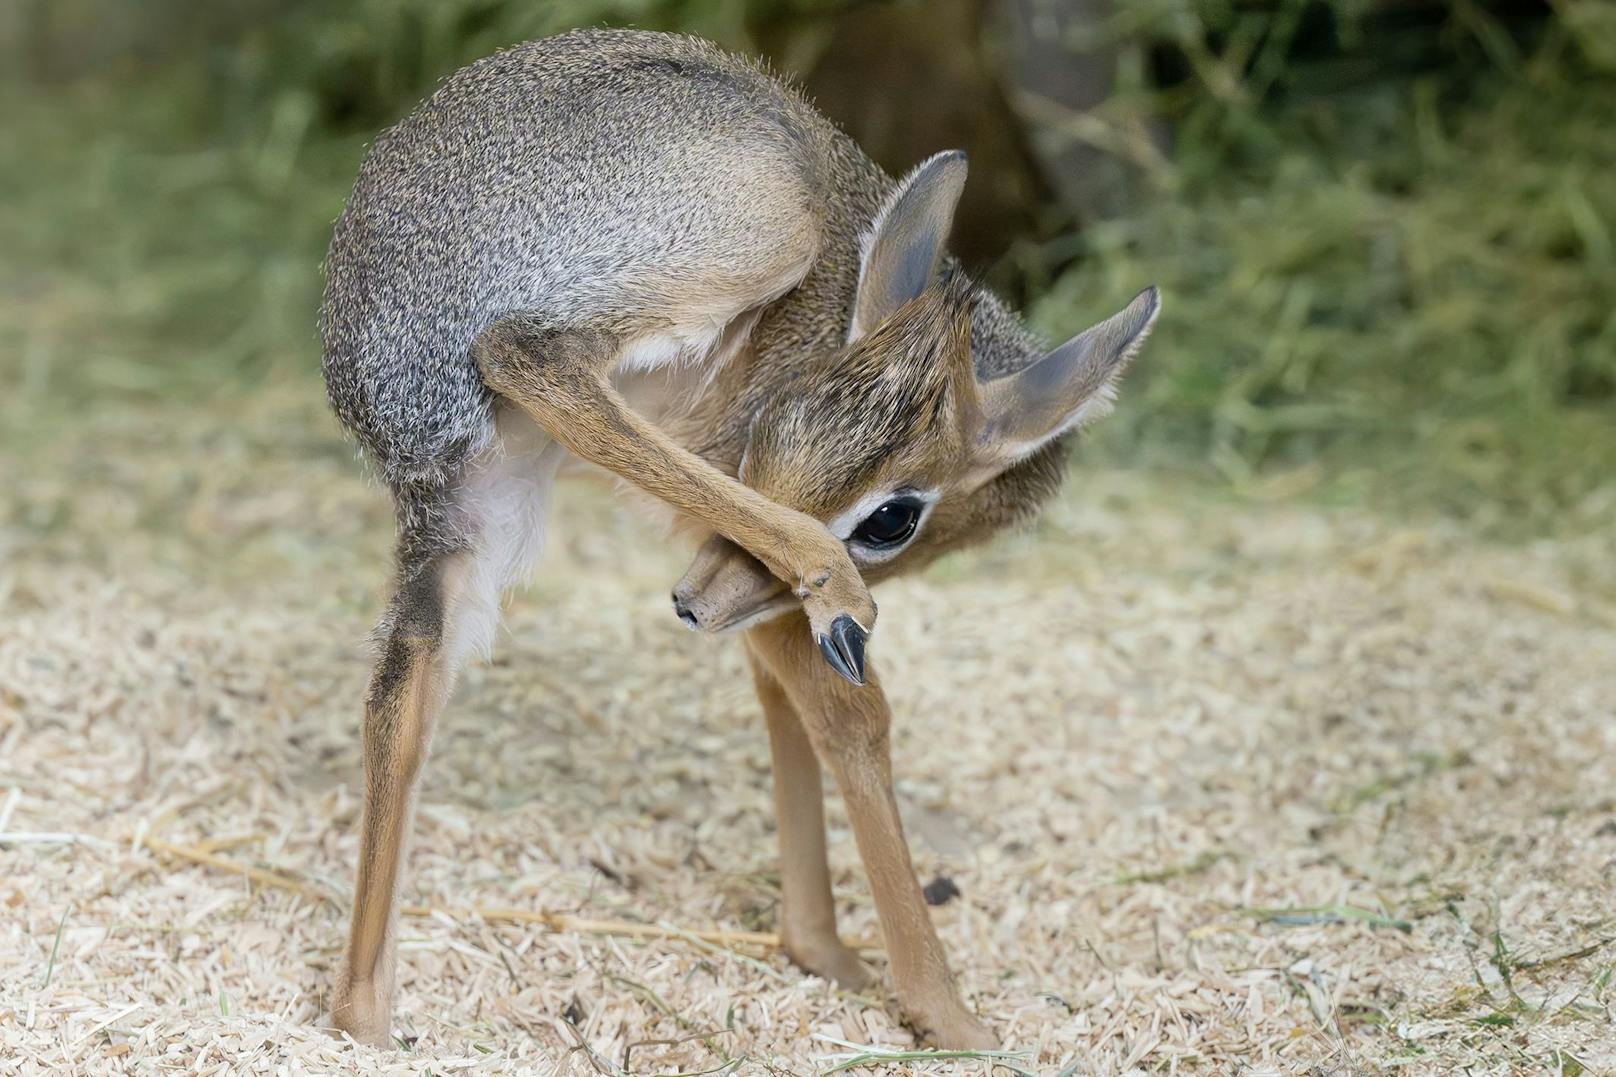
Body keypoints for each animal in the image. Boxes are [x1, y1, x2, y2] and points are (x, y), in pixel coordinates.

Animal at [318, 27, 1150, 1047]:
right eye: (895, 516)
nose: (684, 602)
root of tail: (372, 324)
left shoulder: (740, 592)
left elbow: (787, 700)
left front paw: (821, 950)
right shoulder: (748, 583)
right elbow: (853, 718)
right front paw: (949, 1015)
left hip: (470, 509)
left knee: (401, 689)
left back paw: (365, 1018)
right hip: (759, 231)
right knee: (529, 352)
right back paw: (828, 580)